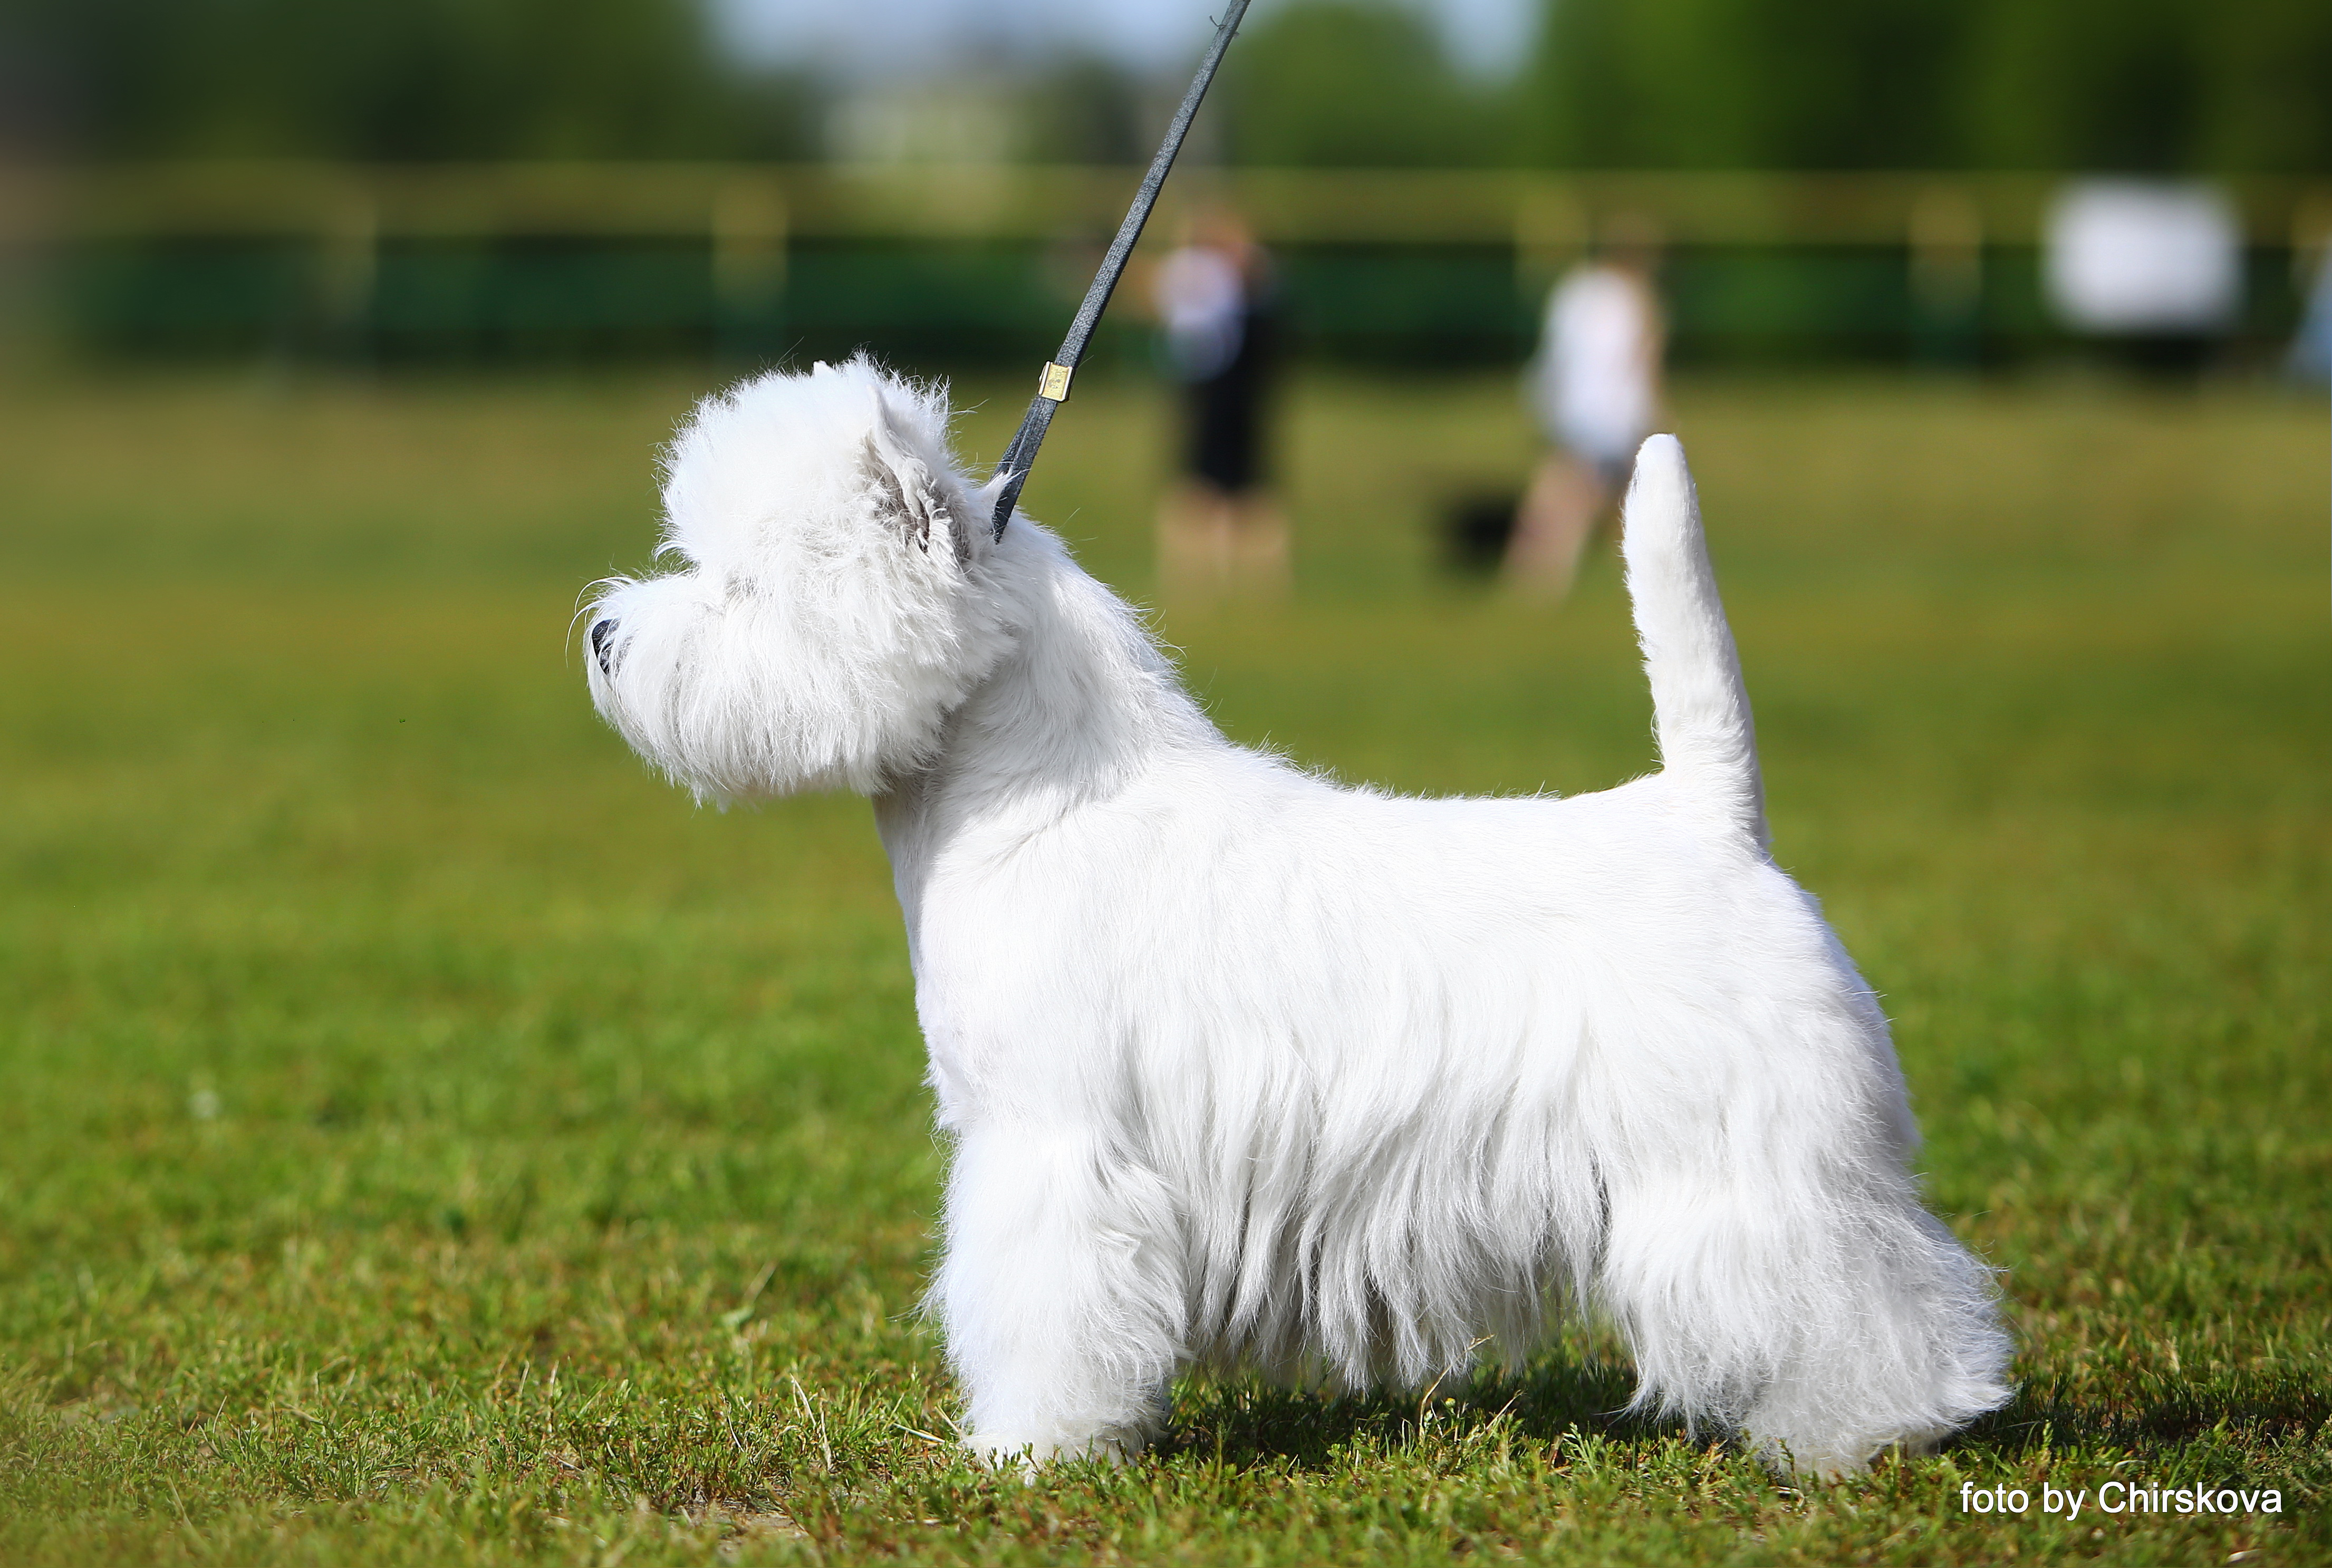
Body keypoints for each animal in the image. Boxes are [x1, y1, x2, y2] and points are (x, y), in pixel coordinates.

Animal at [583, 354, 2005, 1482]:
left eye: (741, 582)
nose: (600, 635)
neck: (1031, 798)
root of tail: (1710, 815)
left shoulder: (1051, 1142)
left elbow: (1044, 1300)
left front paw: (1027, 1449)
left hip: (1753, 1164)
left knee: (1862, 1293)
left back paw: (1860, 1433)